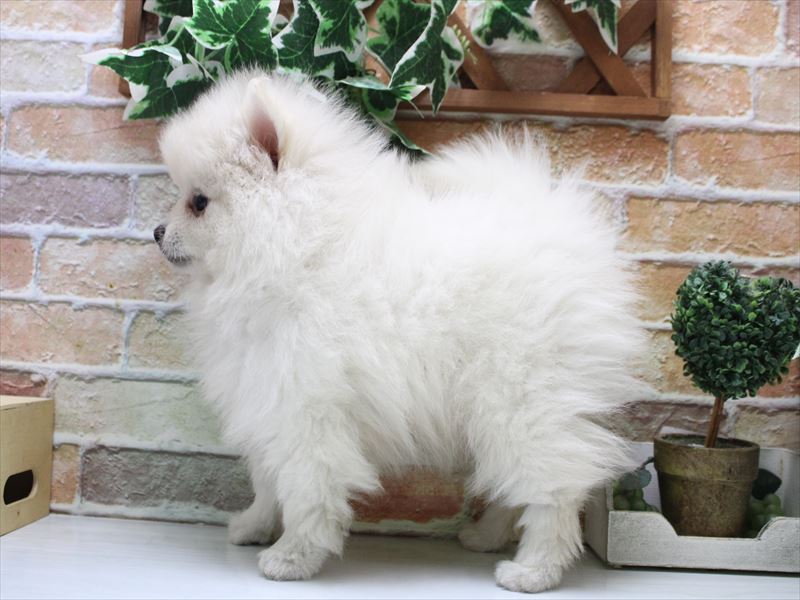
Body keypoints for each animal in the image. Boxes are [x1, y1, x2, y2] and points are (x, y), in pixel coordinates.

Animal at [154, 69, 645, 593]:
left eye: (199, 203)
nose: (158, 232)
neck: (300, 246)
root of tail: (564, 227)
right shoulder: (267, 397)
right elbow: (269, 481)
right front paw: (254, 525)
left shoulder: (306, 408)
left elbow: (307, 488)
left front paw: (292, 557)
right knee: (515, 482)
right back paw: (486, 536)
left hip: (523, 400)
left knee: (554, 489)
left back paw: (534, 570)